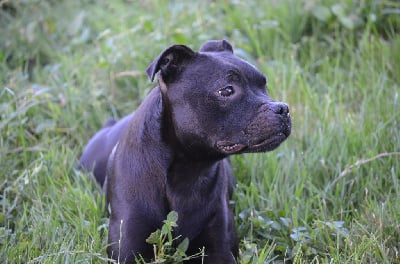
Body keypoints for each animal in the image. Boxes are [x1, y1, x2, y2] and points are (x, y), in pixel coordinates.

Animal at [78, 40, 290, 262]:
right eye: (227, 91)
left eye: (264, 85)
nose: (283, 108)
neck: (186, 171)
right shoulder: (126, 249)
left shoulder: (219, 249)